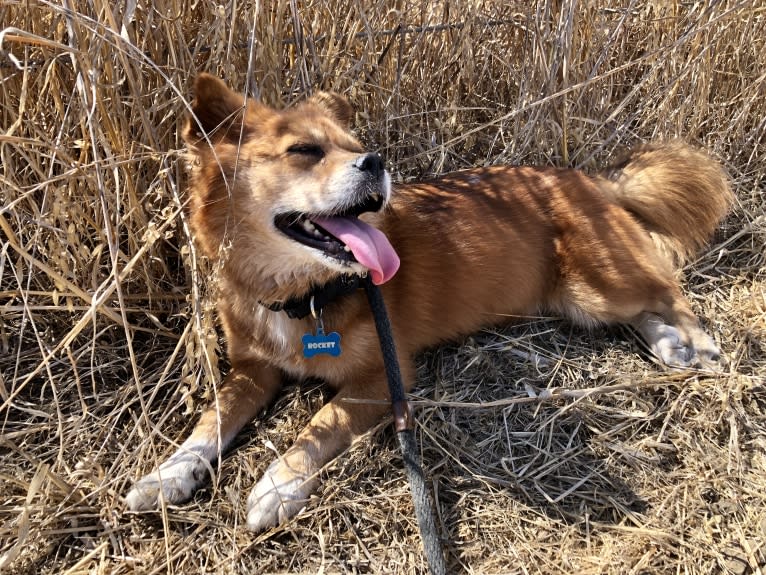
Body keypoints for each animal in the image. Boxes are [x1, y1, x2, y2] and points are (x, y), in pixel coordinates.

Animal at [124, 74, 732, 532]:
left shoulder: (382, 379)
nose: (375, 161)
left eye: (353, 146)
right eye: (303, 151)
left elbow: (319, 422)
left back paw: (695, 343)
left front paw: (278, 483)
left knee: (668, 288)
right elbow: (212, 419)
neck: (303, 295)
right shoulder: (252, 369)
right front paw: (167, 473)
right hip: (576, 298)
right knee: (646, 309)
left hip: (598, 284)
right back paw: (670, 345)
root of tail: (591, 179)